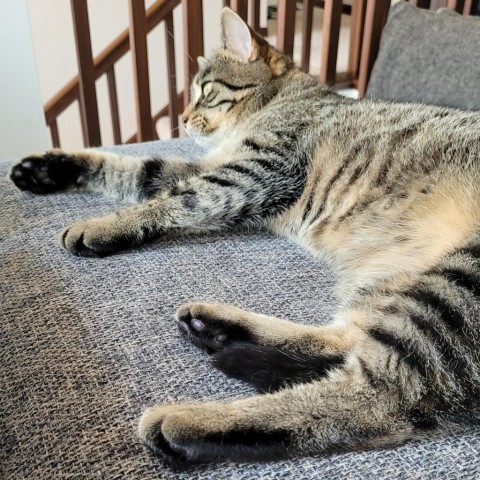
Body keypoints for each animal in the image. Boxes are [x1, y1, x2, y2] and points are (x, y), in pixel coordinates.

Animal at [9, 6, 480, 468]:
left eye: (205, 91)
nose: (182, 118)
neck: (284, 99)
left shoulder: (255, 170)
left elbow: (178, 200)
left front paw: (102, 225)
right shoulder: (210, 167)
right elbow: (133, 168)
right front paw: (48, 168)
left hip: (455, 284)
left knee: (379, 398)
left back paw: (190, 422)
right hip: (391, 281)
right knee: (347, 340)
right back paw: (219, 328)